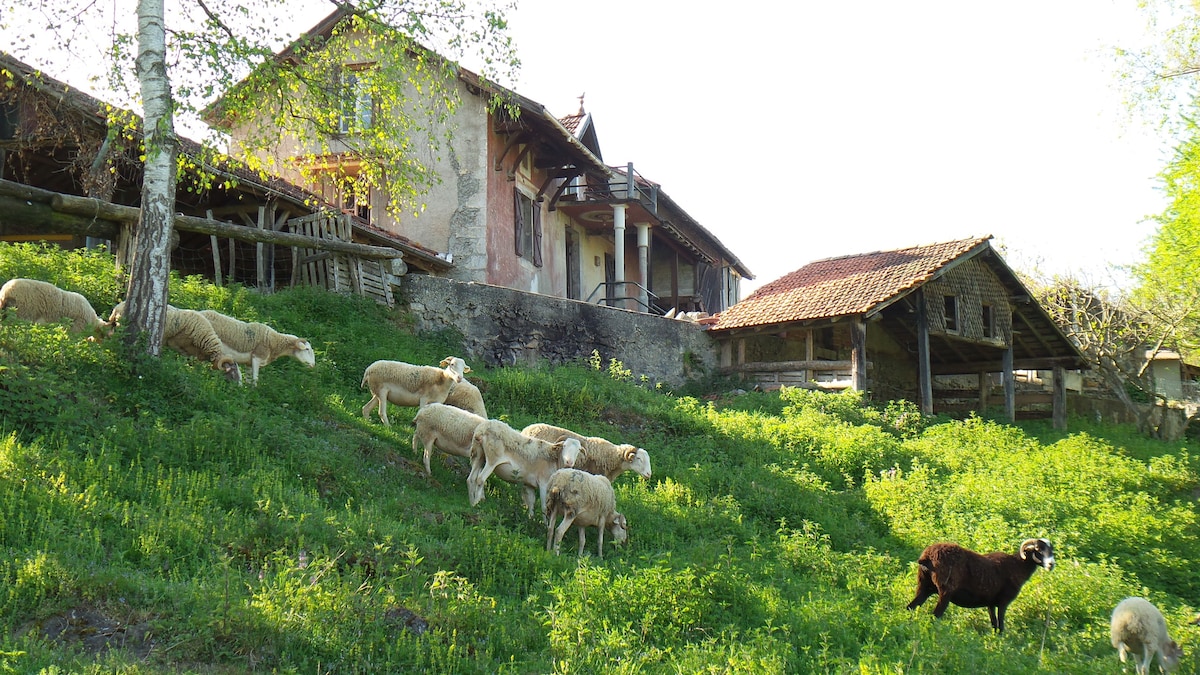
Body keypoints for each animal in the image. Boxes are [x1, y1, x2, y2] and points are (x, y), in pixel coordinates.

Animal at [902, 535, 1056, 629]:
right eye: (1038, 549)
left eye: (1051, 550)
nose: (1051, 564)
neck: (1017, 566)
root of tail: (926, 557)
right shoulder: (1003, 602)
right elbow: (1001, 626)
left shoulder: (990, 604)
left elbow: (994, 625)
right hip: (945, 591)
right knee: (935, 615)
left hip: (924, 586)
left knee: (910, 607)